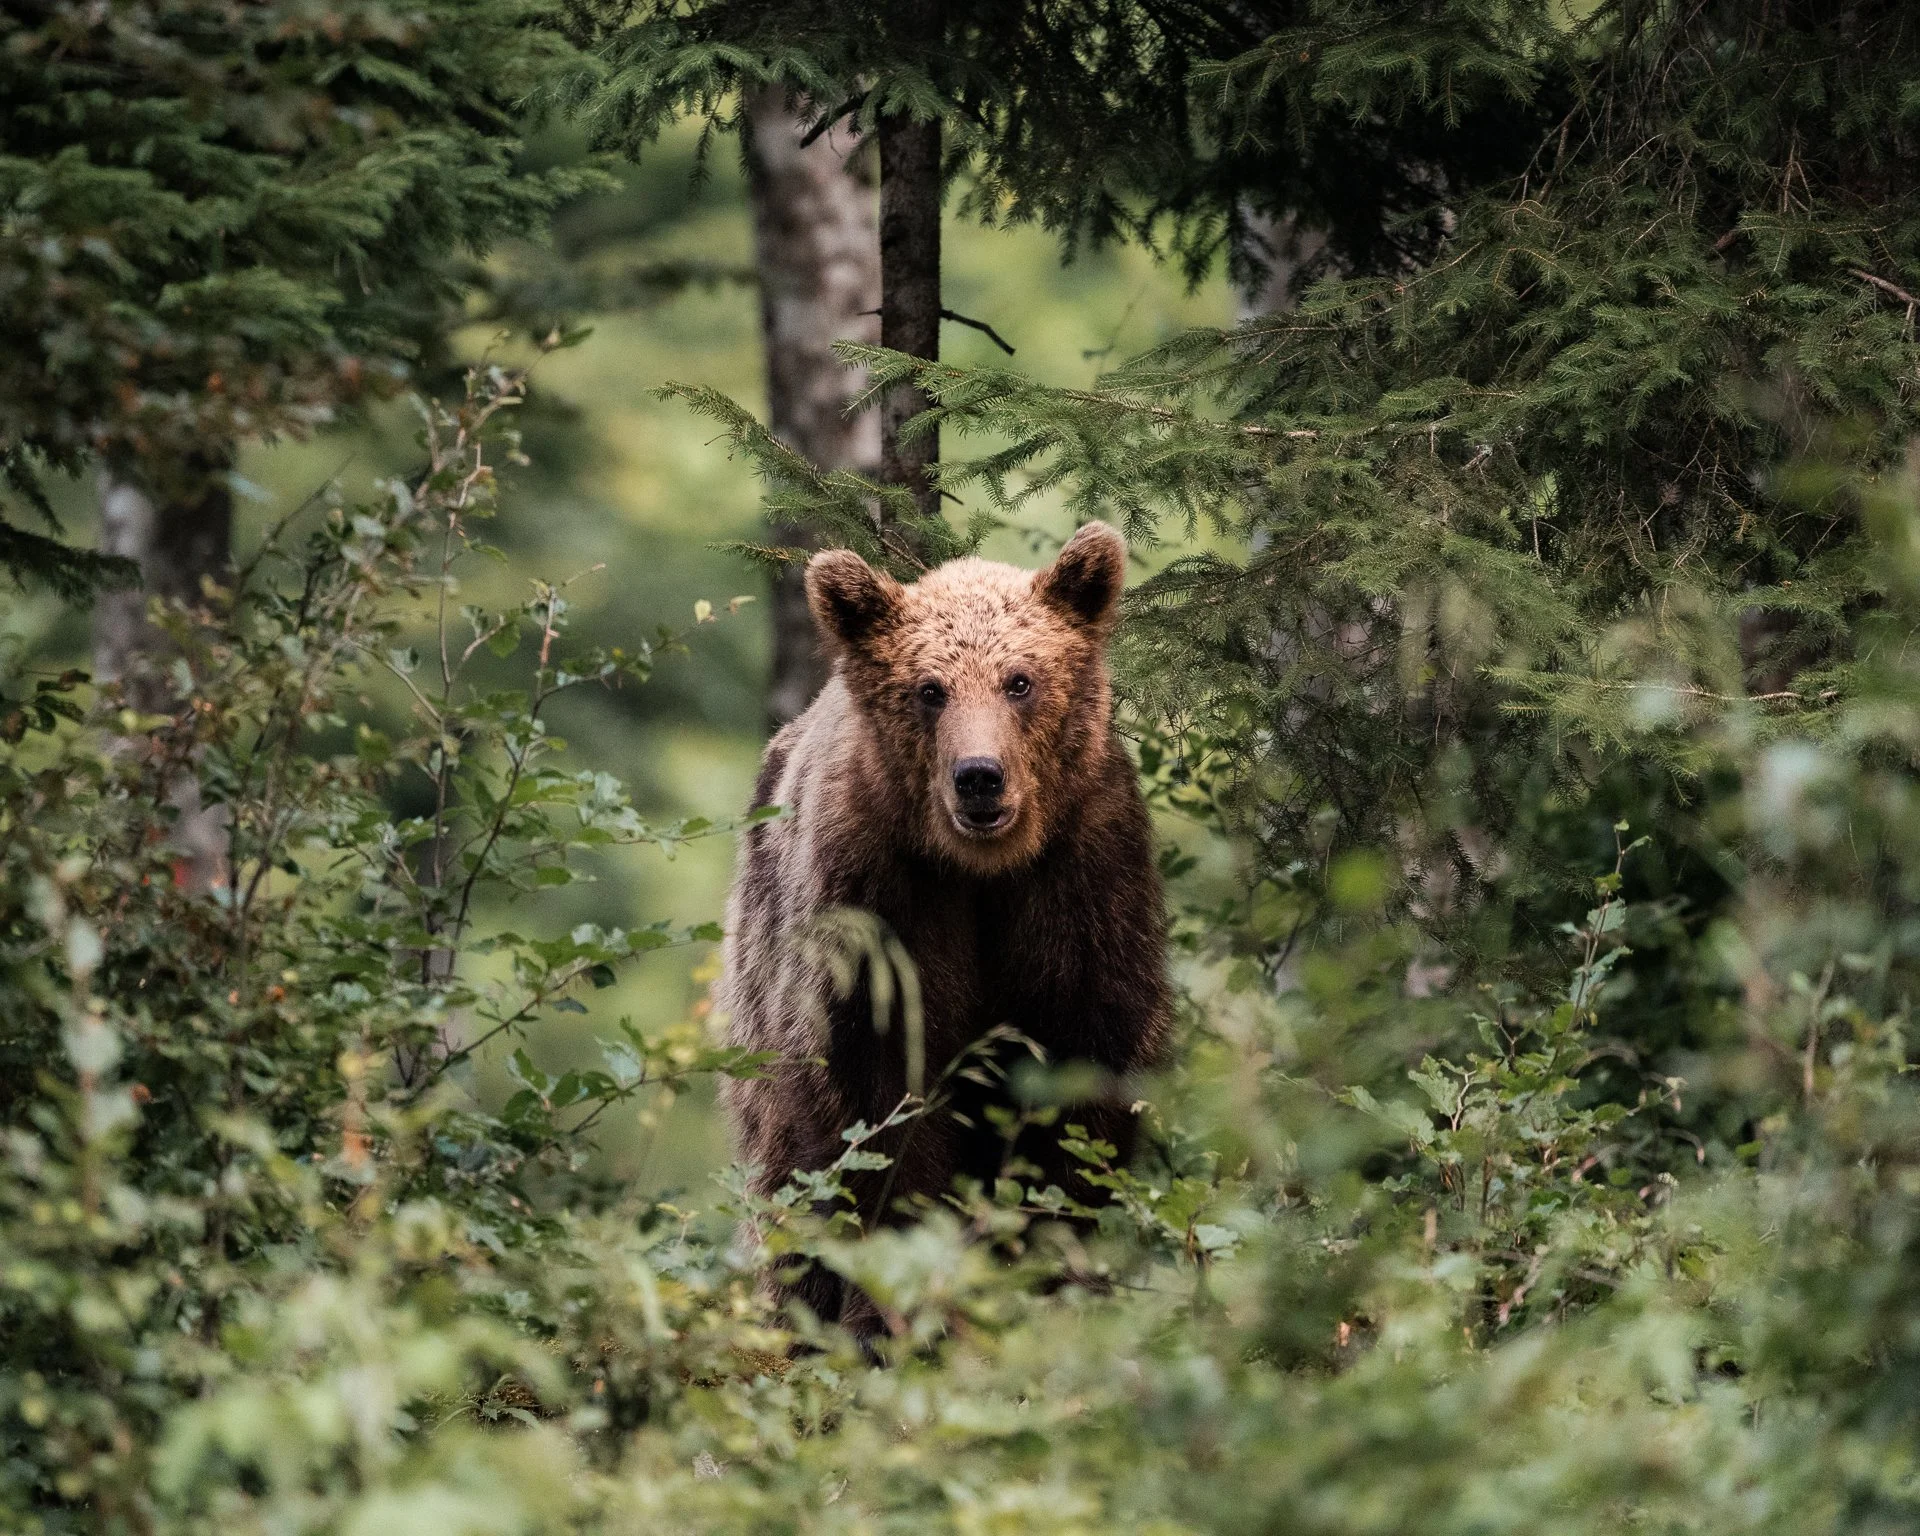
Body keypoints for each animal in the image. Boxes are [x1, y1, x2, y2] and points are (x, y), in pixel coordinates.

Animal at [717, 521, 1170, 1333]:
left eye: (1020, 680)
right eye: (930, 689)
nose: (980, 777)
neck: (982, 871)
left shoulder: (1081, 885)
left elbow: (1081, 1092)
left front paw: (1055, 1281)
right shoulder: (881, 902)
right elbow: (883, 1113)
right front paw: (889, 1312)